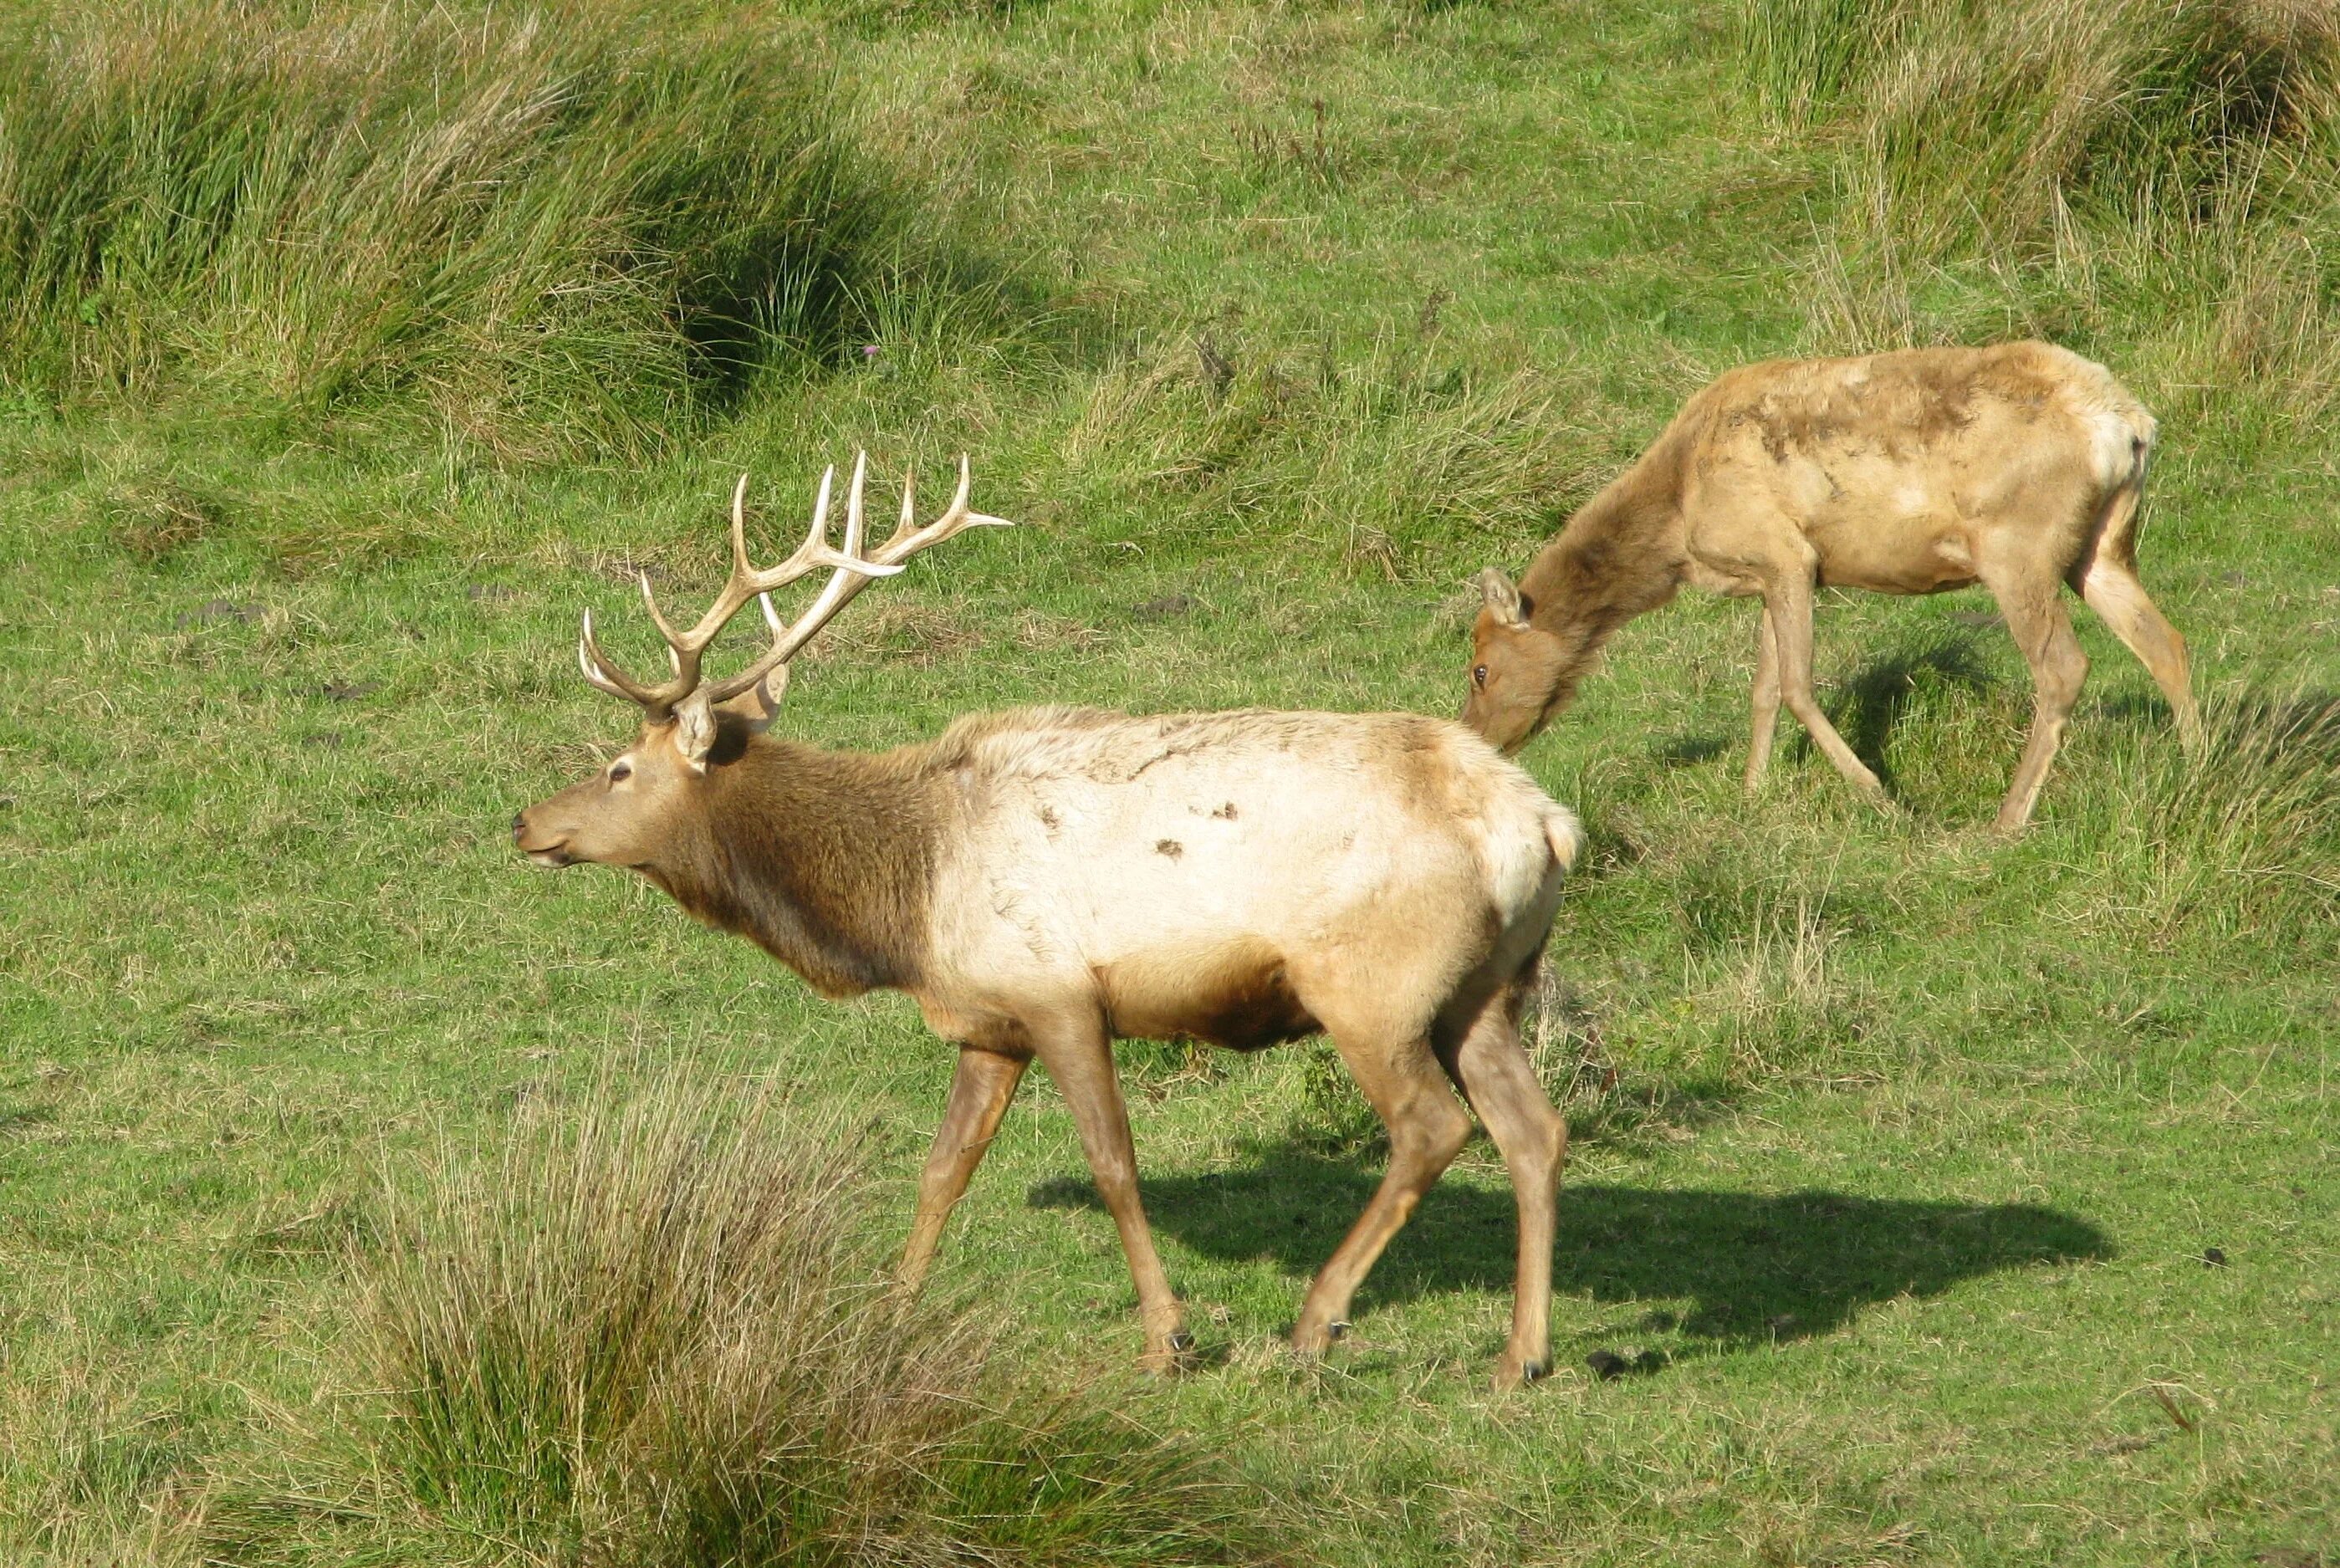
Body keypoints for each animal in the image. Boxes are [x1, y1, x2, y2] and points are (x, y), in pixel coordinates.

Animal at [514, 453, 1591, 1385]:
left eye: (619, 768)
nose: (526, 821)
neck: (904, 902)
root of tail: (1543, 823)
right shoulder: (988, 1021)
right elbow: (941, 1169)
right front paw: (891, 1307)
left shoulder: (1058, 993)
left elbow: (1113, 1164)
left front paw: (1167, 1337)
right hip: (1486, 985)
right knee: (1533, 1129)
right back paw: (1520, 1354)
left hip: (1371, 987)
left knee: (1431, 1129)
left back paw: (1315, 1322)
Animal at [1469, 346, 2199, 833]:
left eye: (1478, 667)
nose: (1480, 740)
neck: (1678, 517)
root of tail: (2131, 426)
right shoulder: (1771, 573)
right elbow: (1764, 688)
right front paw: (1753, 793)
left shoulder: (1786, 553)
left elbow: (1796, 684)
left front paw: (1880, 795)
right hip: (2102, 545)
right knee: (2166, 641)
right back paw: (2194, 767)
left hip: (2016, 544)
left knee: (2063, 666)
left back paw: (2007, 818)